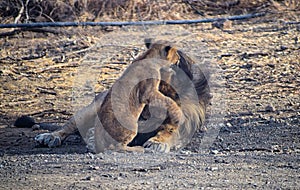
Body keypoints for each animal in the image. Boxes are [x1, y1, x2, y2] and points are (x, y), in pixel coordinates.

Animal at [14, 39, 211, 154]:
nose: (143, 118)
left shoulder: (185, 123)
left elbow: (169, 130)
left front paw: (157, 141)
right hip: (92, 109)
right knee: (69, 126)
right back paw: (51, 136)